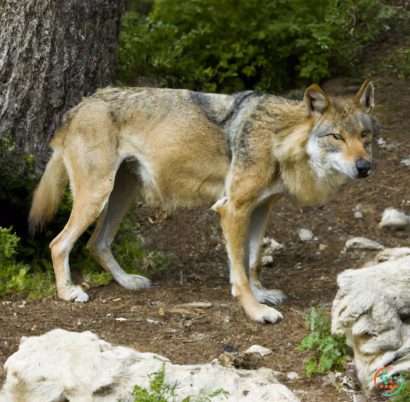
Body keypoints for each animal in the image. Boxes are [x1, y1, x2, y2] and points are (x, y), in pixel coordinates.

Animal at [30, 81, 380, 324]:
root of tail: (78, 106)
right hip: (97, 196)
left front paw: (262, 293)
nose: (365, 167)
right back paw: (67, 292)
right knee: (59, 243)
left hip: (121, 196)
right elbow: (239, 269)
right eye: (336, 137)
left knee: (96, 243)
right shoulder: (233, 208)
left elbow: (252, 259)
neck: (279, 138)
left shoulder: (261, 208)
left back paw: (129, 282)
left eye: (364, 136)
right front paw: (256, 311)